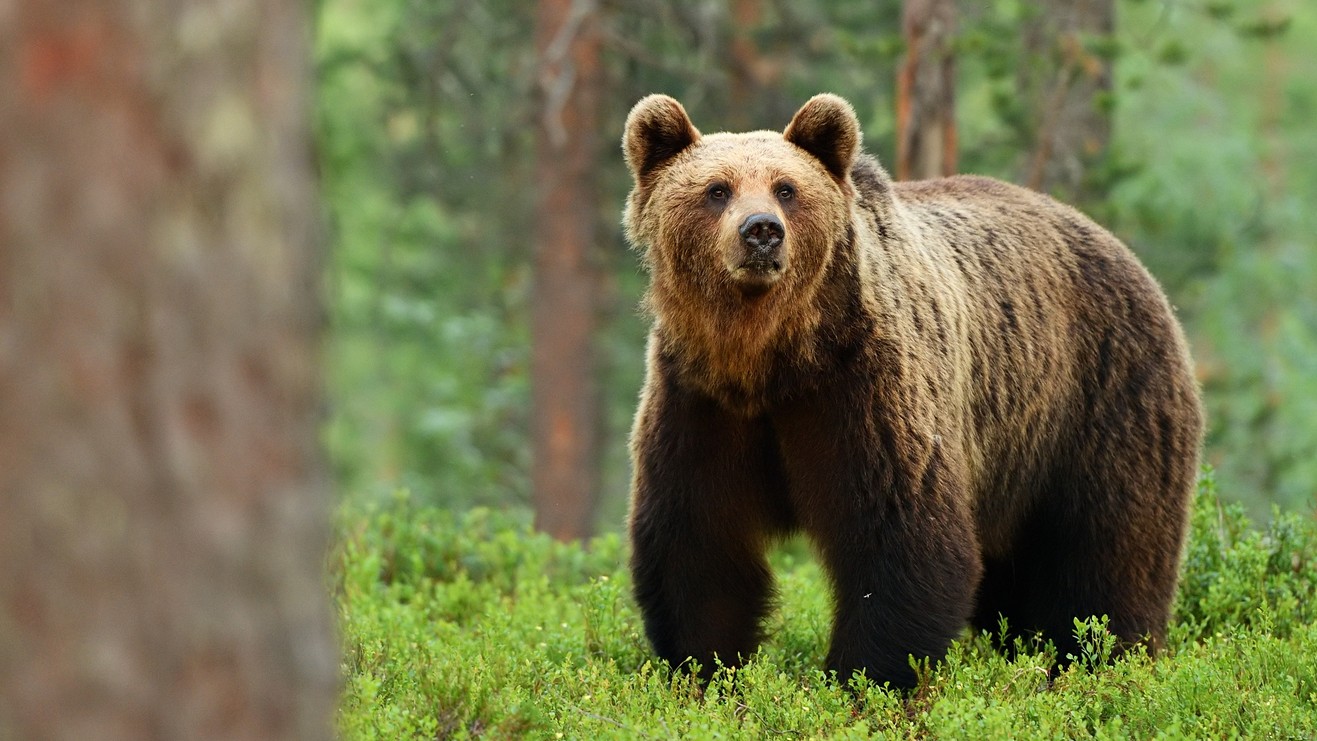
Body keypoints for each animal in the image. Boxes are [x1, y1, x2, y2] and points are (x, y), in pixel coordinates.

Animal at [618, 92, 1206, 689]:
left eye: (787, 188)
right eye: (717, 190)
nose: (761, 230)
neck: (771, 358)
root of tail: (1125, 254)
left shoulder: (864, 390)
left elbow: (900, 537)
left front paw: (864, 679)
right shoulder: (699, 401)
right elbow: (698, 546)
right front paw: (706, 671)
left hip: (1101, 400)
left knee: (1109, 553)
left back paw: (1103, 659)